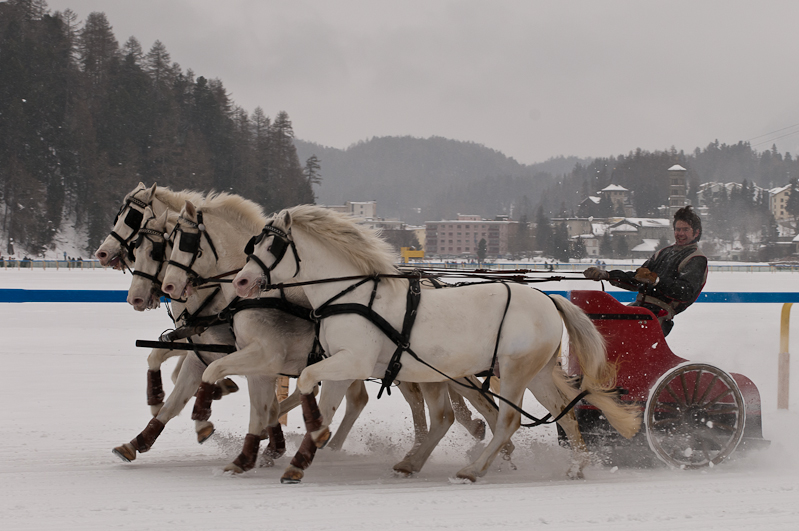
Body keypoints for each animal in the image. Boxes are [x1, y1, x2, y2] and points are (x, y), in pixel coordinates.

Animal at [159, 197, 504, 476]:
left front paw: (209, 423)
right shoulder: (248, 357)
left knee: (466, 405)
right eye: (166, 241)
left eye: (186, 242)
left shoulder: (267, 356)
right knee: (436, 408)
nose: (169, 287)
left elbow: (245, 390)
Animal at [233, 206, 644, 484]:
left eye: (273, 245)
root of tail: (549, 299)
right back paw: (576, 466)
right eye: (254, 243)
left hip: (513, 370)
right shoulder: (341, 365)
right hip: (535, 373)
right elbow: (327, 403)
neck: (353, 295)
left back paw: (474, 468)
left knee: (507, 419)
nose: (240, 282)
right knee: (564, 413)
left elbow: (306, 381)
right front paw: (305, 450)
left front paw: (306, 437)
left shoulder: (353, 361)